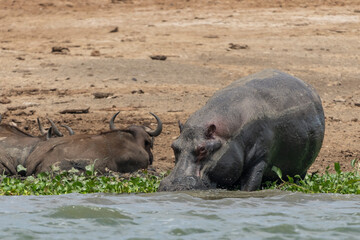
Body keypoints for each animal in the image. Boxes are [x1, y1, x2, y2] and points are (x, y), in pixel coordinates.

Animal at [159, 69, 324, 191]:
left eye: (202, 149)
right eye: (173, 146)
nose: (172, 187)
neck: (226, 134)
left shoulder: (260, 159)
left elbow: (249, 186)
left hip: (301, 169)